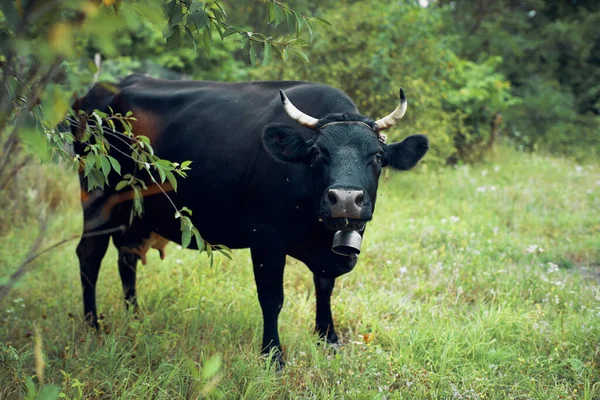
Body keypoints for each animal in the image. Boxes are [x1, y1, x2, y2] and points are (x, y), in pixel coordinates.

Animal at [71, 73, 426, 364]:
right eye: (315, 154)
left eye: (377, 157)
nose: (346, 199)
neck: (318, 237)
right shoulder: (266, 236)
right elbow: (272, 299)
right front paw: (272, 356)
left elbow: (325, 287)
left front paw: (329, 338)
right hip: (96, 196)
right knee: (89, 255)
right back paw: (92, 325)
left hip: (133, 211)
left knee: (127, 257)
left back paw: (135, 316)